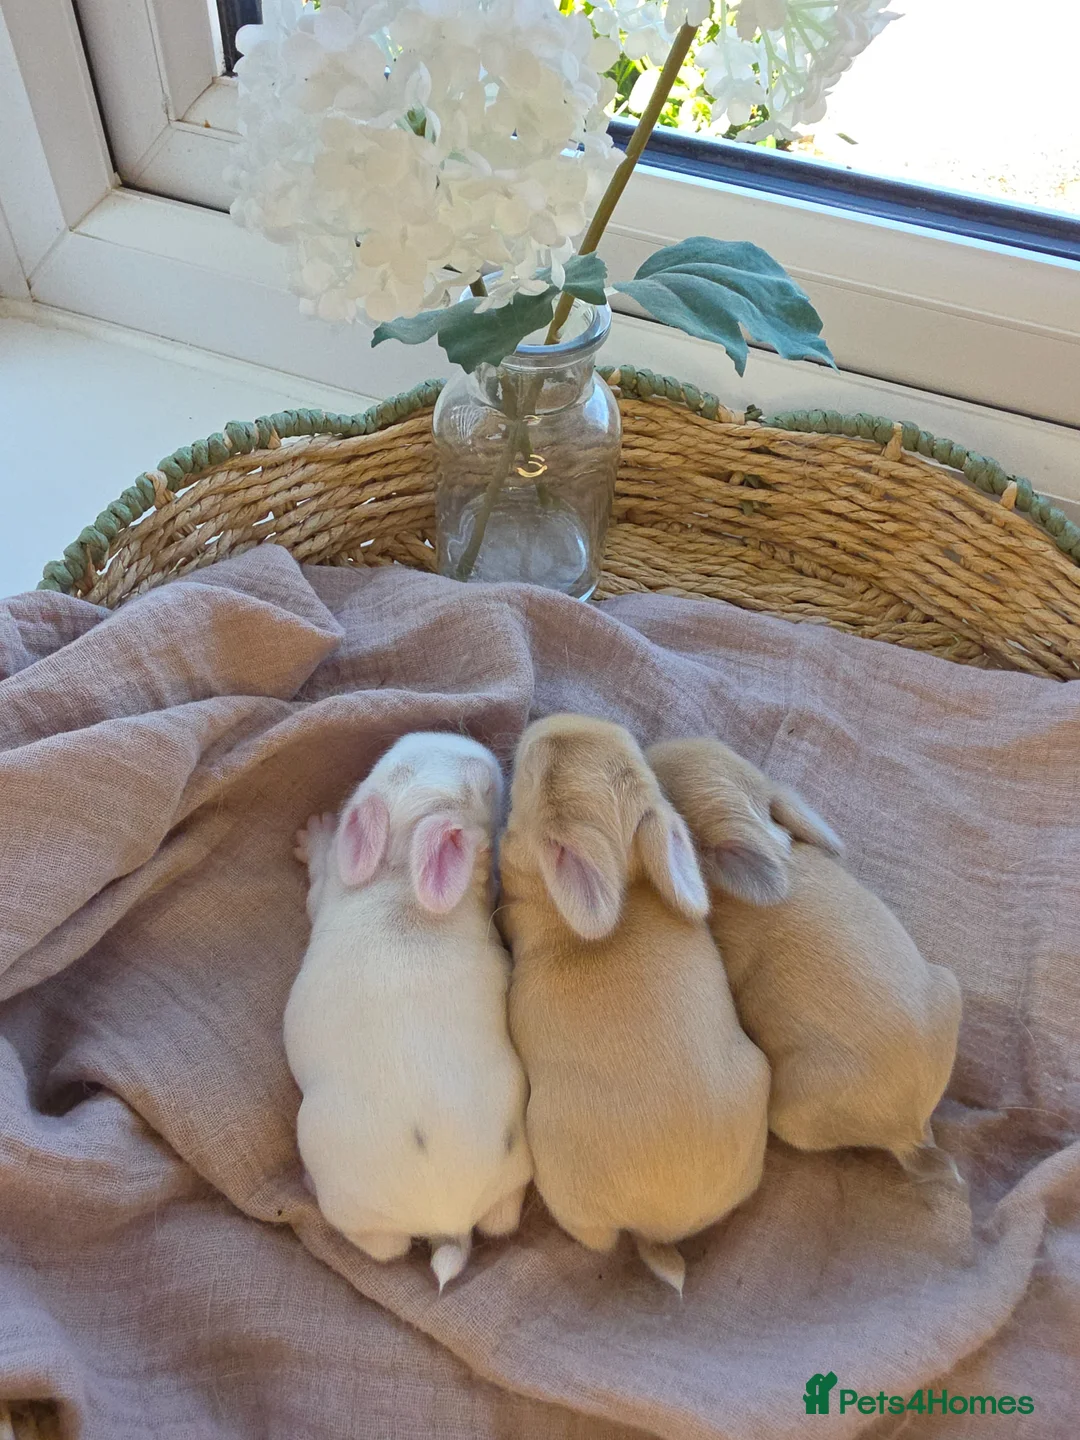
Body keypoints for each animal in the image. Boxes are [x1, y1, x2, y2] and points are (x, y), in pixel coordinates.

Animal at [285, 731, 532, 1291]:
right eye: (488, 789)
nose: (488, 753)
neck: (399, 874)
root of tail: (447, 1221)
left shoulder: (322, 894)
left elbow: (316, 874)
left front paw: (315, 833)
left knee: (385, 1248)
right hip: (511, 1177)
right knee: (501, 1218)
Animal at [647, 738, 963, 1186]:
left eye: (658, 786)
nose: (645, 748)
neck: (768, 845)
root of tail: (910, 1131)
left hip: (788, 1112)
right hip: (948, 985)